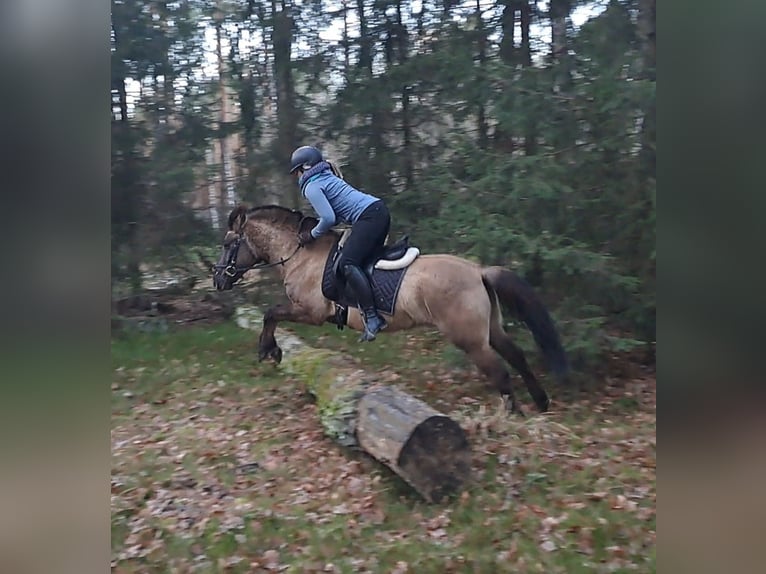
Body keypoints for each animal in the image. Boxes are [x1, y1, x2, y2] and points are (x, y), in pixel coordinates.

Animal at [212, 204, 569, 415]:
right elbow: (271, 313)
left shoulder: (311, 312)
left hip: (469, 339)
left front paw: (269, 351)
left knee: (500, 371)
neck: (300, 253)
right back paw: (540, 403)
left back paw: (512, 416)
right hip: (490, 329)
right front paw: (271, 351)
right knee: (517, 356)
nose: (217, 279)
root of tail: (478, 270)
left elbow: (270, 312)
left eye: (229, 243)